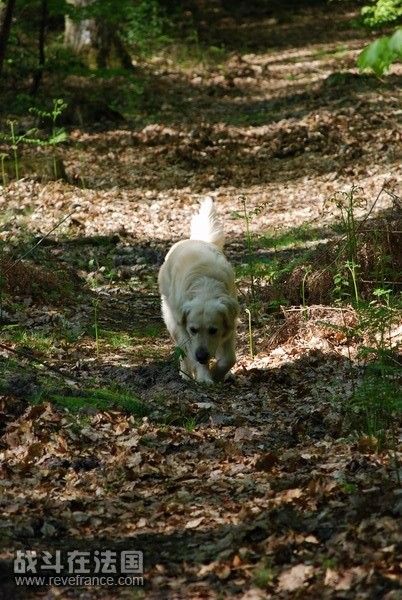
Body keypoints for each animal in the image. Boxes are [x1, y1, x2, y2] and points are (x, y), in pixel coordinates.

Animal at [158, 197, 239, 384]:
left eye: (213, 330)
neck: (205, 287)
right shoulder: (185, 330)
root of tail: (196, 240)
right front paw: (205, 376)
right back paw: (186, 375)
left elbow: (229, 358)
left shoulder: (230, 325)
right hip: (172, 321)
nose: (202, 356)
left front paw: (218, 373)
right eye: (193, 329)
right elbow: (190, 353)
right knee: (182, 353)